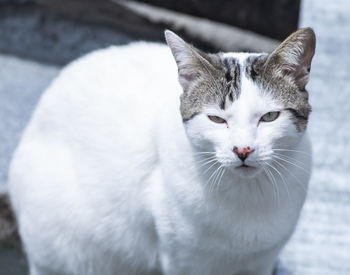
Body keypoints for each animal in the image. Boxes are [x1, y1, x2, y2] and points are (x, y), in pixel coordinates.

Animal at [7, 28, 314, 275]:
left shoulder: (261, 261)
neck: (248, 197)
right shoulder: (183, 260)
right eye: (216, 119)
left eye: (269, 116)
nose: (242, 149)